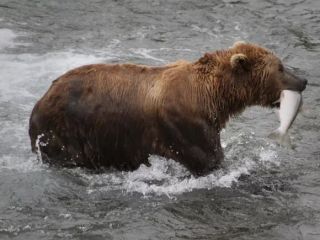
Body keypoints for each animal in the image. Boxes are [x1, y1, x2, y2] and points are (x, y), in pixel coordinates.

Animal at [28, 42, 306, 175]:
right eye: (280, 67)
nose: (303, 80)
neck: (213, 97)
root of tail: (41, 99)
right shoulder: (185, 125)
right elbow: (209, 160)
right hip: (65, 131)